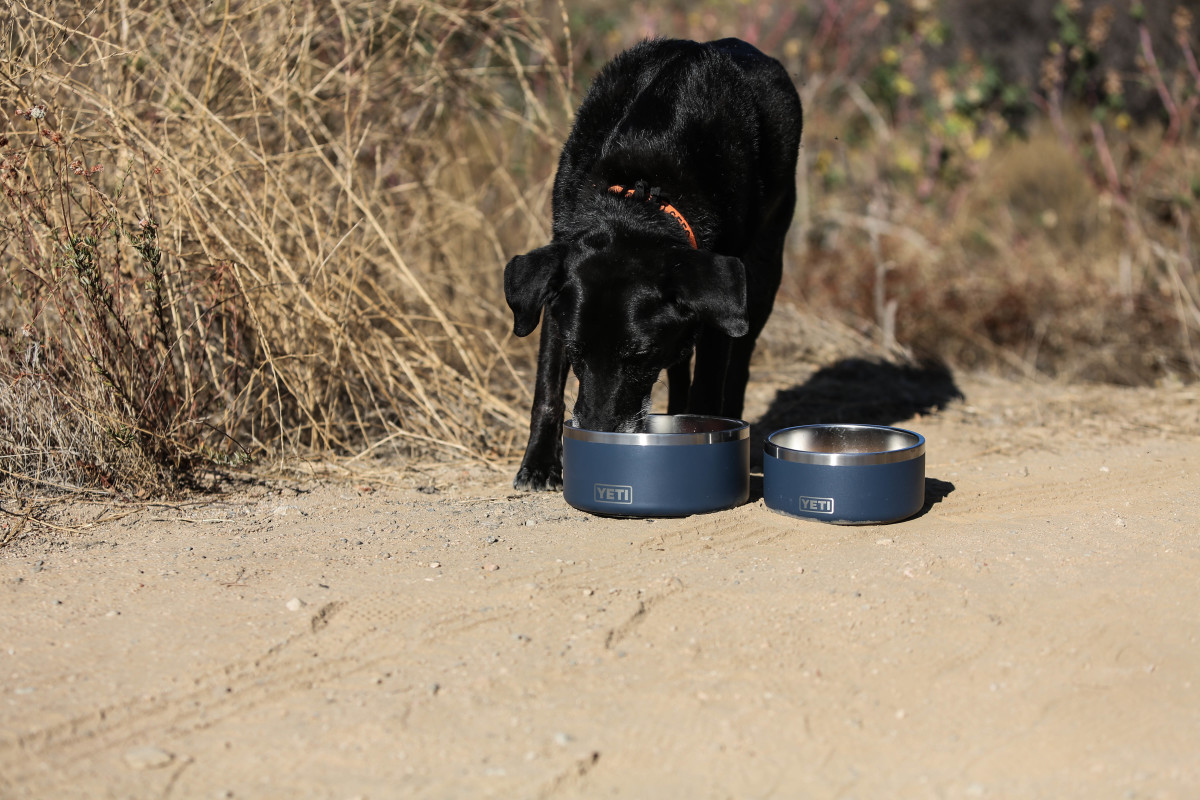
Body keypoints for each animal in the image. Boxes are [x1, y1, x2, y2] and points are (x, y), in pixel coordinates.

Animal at [501, 37, 801, 491]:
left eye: (639, 354)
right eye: (575, 352)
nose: (598, 436)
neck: (640, 195)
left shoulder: (720, 304)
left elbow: (709, 387)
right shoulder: (553, 295)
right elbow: (547, 391)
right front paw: (538, 465)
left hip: (763, 273)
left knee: (738, 362)